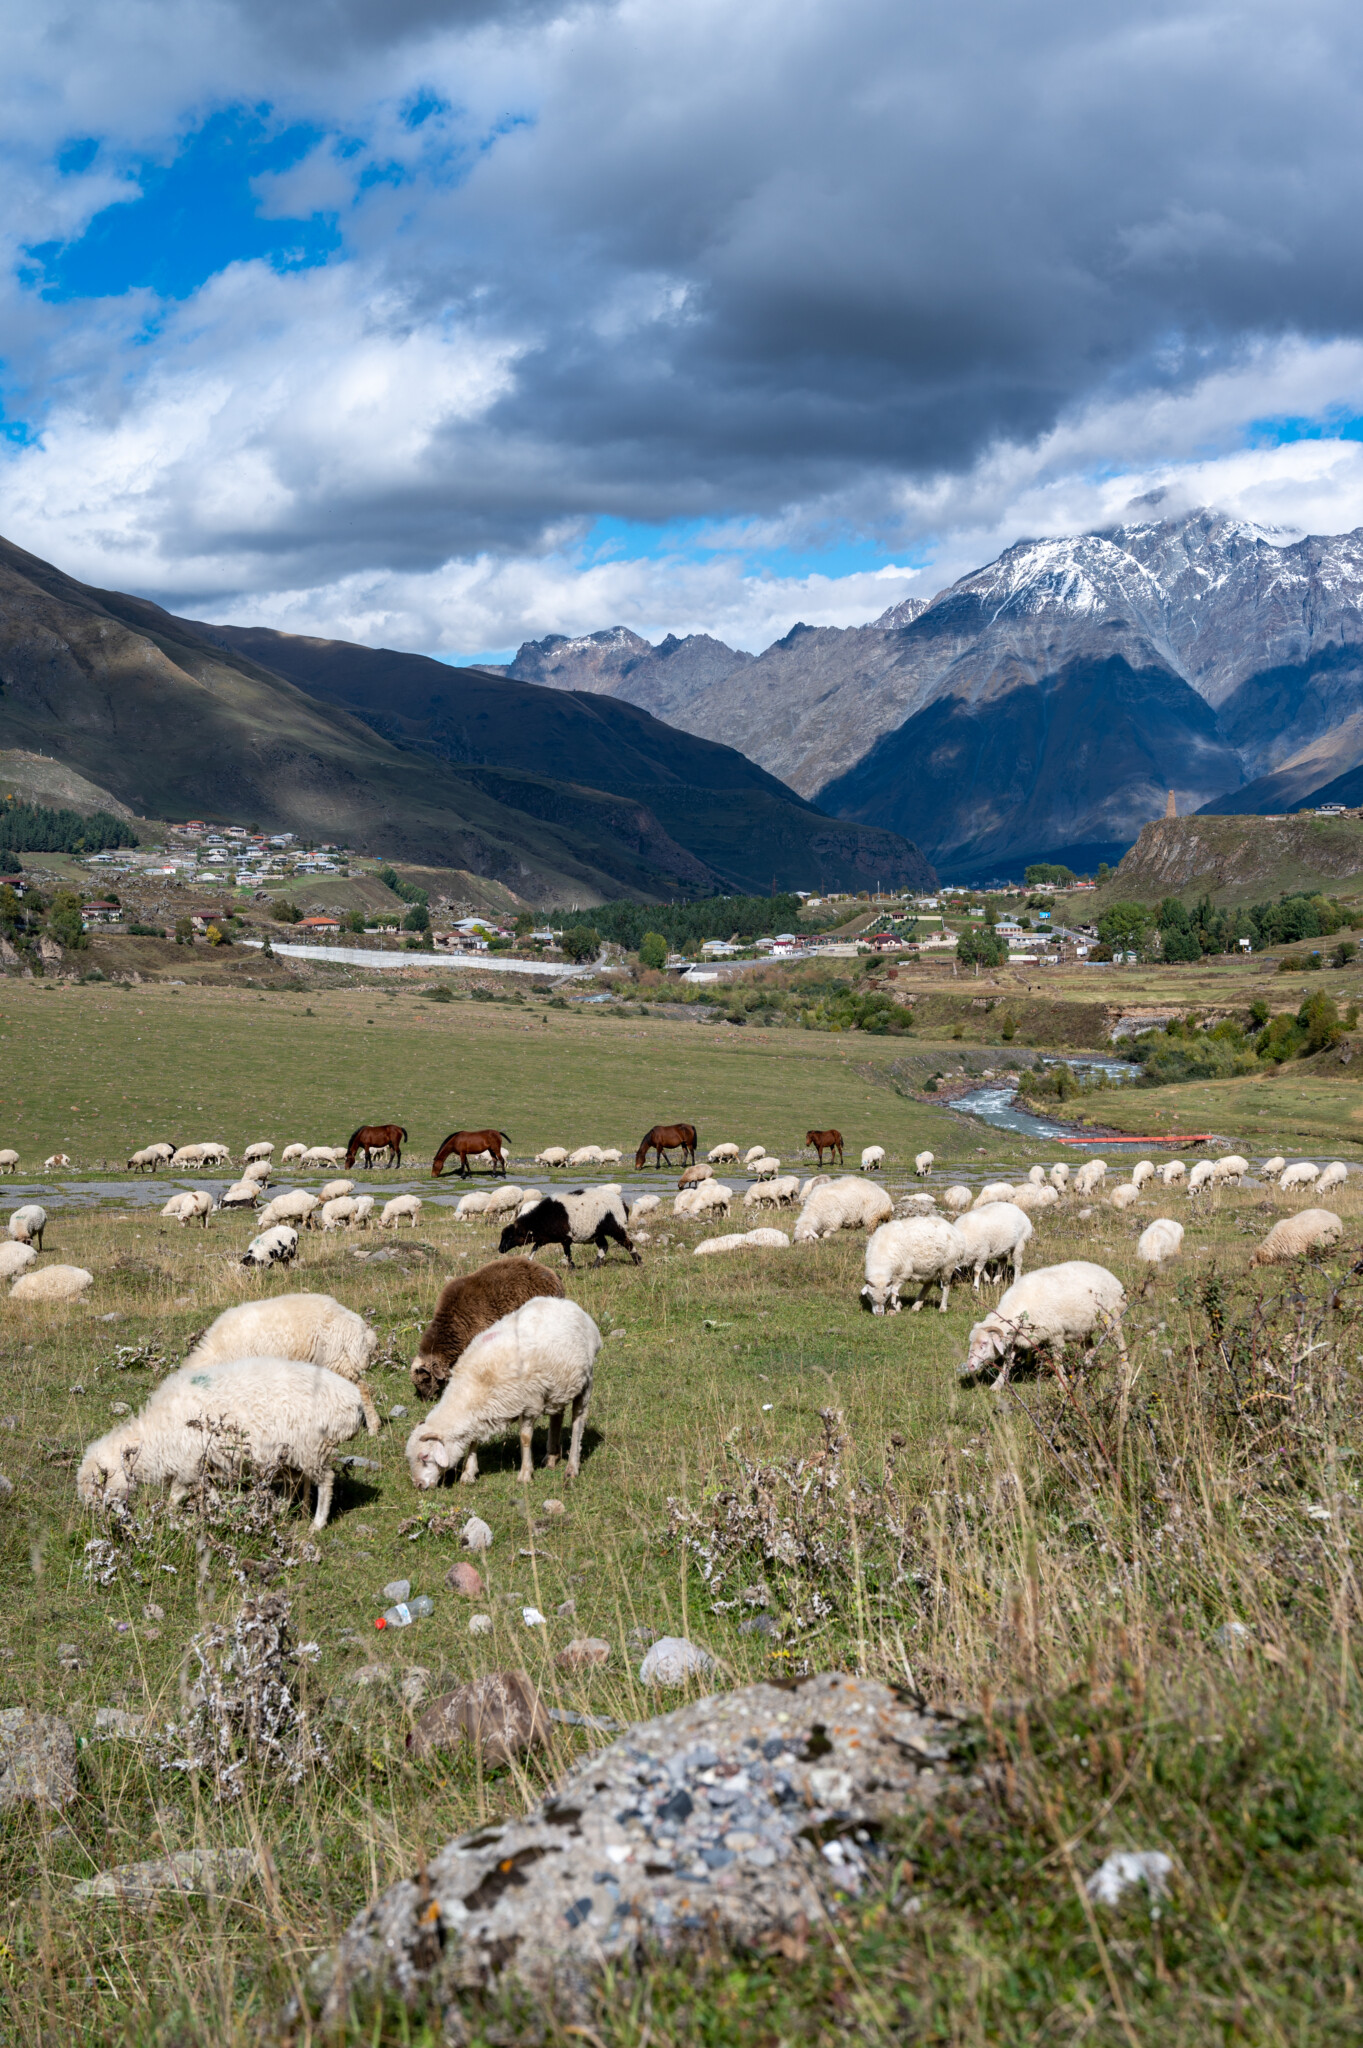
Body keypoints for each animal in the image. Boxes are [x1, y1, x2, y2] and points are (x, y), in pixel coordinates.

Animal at [78, 1359, 376, 1523]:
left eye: (100, 1480)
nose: (95, 1516)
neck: (155, 1435)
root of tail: (352, 1401)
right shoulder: (204, 1466)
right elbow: (210, 1493)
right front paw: (221, 1511)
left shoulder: (189, 1464)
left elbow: (176, 1495)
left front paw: (164, 1516)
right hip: (293, 1454)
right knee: (298, 1482)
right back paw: (290, 1512)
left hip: (312, 1447)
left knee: (325, 1481)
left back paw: (317, 1523)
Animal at [401, 1294, 597, 1490]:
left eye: (425, 1456)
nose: (418, 1484)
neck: (473, 1385)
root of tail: (571, 1305)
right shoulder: (481, 1413)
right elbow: (473, 1439)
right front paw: (469, 1473)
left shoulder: (530, 1404)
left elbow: (525, 1438)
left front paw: (525, 1474)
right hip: (557, 1388)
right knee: (557, 1415)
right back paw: (551, 1457)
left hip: (585, 1381)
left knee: (578, 1421)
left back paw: (572, 1467)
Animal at [953, 1261, 1121, 1392]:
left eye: (984, 1343)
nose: (970, 1365)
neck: (1018, 1306)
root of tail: (1110, 1275)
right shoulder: (1017, 1338)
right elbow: (1008, 1361)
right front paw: (997, 1385)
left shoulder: (1056, 1335)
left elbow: (1057, 1360)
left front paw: (1062, 1384)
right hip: (1084, 1328)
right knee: (1090, 1349)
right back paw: (1081, 1376)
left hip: (1112, 1320)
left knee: (1121, 1345)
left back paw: (1123, 1370)